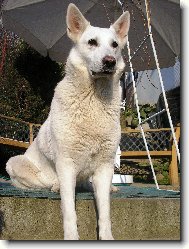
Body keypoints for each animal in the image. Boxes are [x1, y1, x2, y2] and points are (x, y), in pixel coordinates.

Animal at [5, 3, 130, 240]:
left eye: (115, 45)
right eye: (92, 42)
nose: (109, 61)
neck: (93, 100)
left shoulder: (104, 166)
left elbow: (105, 211)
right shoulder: (66, 164)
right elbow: (69, 209)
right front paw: (71, 237)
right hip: (15, 163)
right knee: (43, 183)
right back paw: (54, 186)